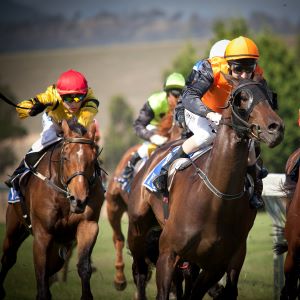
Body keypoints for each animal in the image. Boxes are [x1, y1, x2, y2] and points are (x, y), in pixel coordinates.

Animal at [0, 120, 105, 300]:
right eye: (65, 157)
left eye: (93, 159)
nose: (79, 199)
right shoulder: (42, 233)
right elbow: (41, 271)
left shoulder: (88, 225)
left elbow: (83, 266)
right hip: (14, 228)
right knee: (8, 257)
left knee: (54, 265)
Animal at [126, 75, 284, 300]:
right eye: (242, 98)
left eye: (270, 96)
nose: (275, 128)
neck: (214, 201)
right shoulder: (168, 253)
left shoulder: (217, 265)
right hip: (137, 228)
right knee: (139, 271)